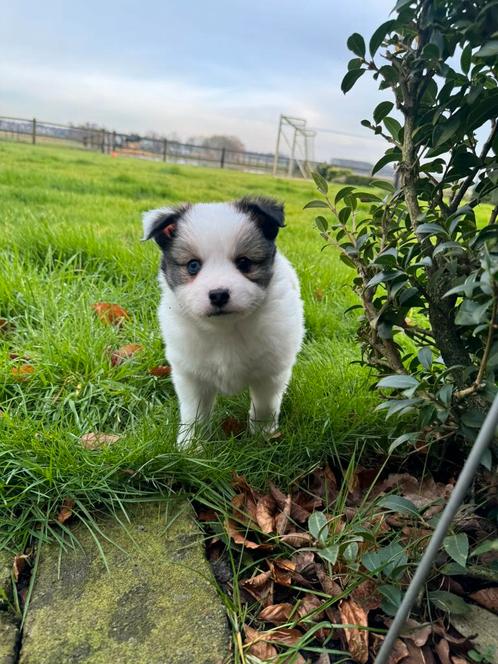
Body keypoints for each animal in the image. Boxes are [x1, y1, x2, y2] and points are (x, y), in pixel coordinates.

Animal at [142, 196, 306, 446]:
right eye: (193, 265)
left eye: (244, 262)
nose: (218, 294)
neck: (225, 328)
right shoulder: (190, 374)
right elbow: (194, 413)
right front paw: (190, 445)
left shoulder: (270, 372)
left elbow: (265, 406)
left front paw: (263, 436)